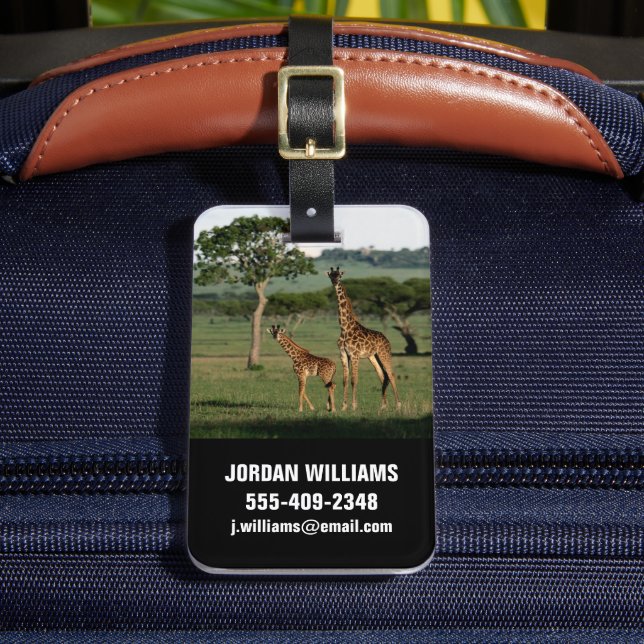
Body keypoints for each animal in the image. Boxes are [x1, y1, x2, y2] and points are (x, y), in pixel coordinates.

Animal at [327, 267, 401, 411]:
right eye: (331, 275)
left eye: (339, 276)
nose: (335, 282)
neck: (344, 328)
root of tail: (387, 339)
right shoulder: (343, 354)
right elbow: (345, 380)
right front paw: (344, 406)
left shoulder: (354, 355)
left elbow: (354, 380)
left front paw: (353, 406)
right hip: (373, 356)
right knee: (382, 376)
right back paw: (383, 406)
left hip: (384, 354)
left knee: (391, 374)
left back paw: (398, 405)